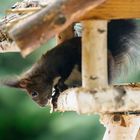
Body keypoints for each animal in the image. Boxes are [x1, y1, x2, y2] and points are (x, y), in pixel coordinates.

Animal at [2, 19, 140, 106]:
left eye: (33, 93)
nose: (41, 106)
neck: (45, 70)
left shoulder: (63, 60)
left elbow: (65, 72)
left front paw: (60, 85)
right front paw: (56, 91)